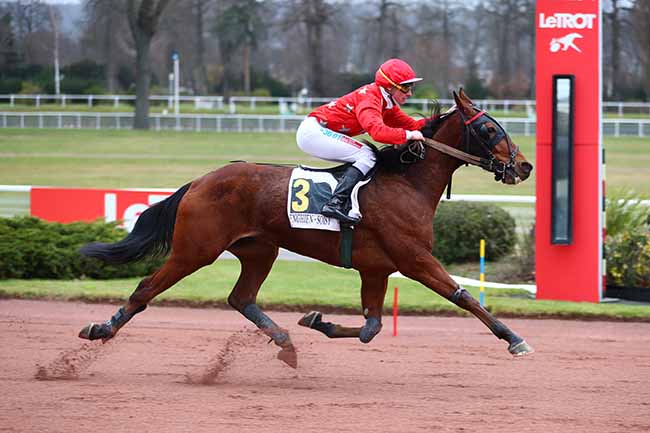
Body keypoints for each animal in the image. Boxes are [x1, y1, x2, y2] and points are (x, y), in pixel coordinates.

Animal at [78, 89, 535, 368]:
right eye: (489, 128)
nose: (524, 165)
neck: (407, 182)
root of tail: (199, 181)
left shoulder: (376, 269)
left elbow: (371, 328)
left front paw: (317, 321)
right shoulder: (415, 259)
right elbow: (465, 297)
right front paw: (514, 338)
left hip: (259, 250)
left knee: (241, 298)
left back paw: (285, 343)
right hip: (195, 249)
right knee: (146, 289)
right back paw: (101, 328)